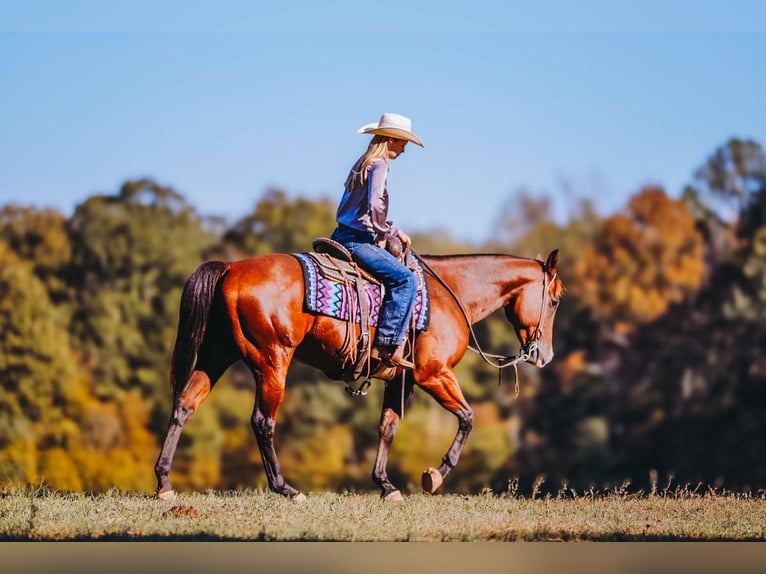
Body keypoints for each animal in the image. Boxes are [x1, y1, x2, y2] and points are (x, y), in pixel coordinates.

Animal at [154, 248, 565, 501]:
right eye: (556, 299)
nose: (544, 355)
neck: (452, 294)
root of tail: (231, 268)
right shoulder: (434, 374)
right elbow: (468, 418)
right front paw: (435, 476)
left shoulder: (401, 380)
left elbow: (387, 427)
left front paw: (386, 485)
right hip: (272, 360)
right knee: (262, 422)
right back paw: (286, 488)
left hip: (216, 355)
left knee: (184, 406)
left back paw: (164, 482)